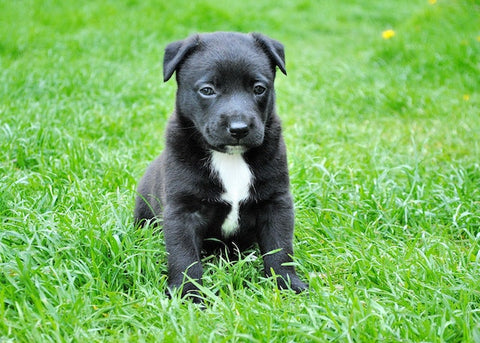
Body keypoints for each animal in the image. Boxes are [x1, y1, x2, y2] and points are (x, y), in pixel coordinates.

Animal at [135, 33, 308, 300]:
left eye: (259, 89)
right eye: (207, 90)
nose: (239, 128)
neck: (230, 157)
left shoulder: (276, 202)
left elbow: (280, 248)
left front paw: (288, 284)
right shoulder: (182, 211)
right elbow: (184, 256)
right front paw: (189, 295)